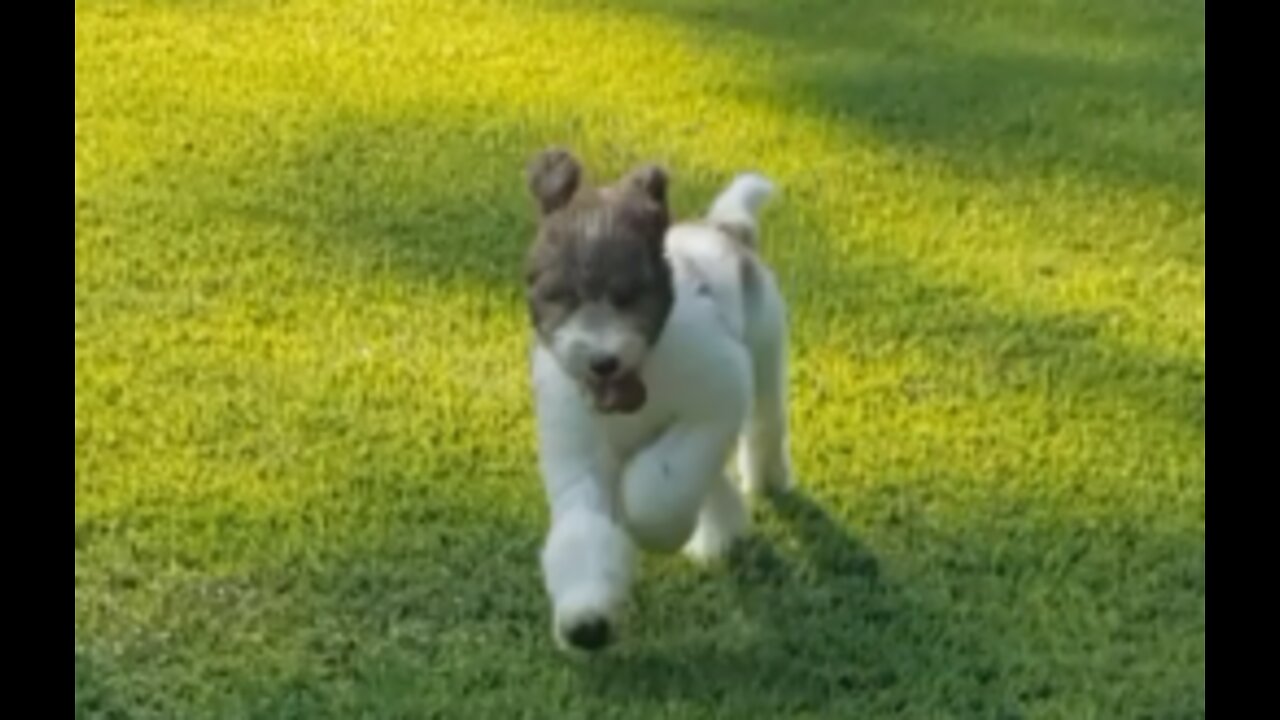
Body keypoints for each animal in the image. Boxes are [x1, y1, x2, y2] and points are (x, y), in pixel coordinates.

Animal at [519, 147, 788, 650]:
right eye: (561, 297)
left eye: (627, 296)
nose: (601, 361)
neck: (641, 375)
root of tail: (725, 229)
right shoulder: (580, 452)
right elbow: (583, 528)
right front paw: (587, 617)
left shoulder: (716, 395)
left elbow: (659, 485)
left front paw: (655, 529)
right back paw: (725, 532)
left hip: (765, 351)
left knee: (764, 423)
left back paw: (767, 478)